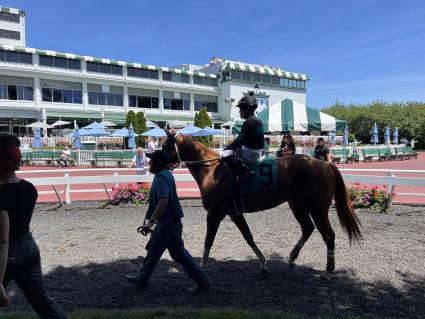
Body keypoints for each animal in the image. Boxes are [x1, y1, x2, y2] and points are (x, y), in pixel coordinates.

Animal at [162, 133, 362, 280]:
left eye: (165, 146)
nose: (155, 160)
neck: (212, 172)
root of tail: (324, 163)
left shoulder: (214, 213)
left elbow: (208, 240)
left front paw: (202, 267)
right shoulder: (234, 213)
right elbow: (248, 237)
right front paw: (263, 264)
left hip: (317, 209)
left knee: (329, 235)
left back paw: (328, 271)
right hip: (296, 203)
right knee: (307, 228)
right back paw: (290, 260)